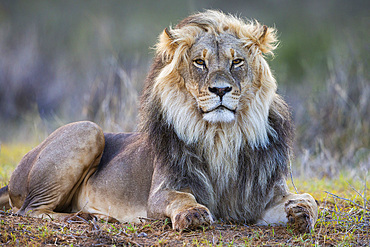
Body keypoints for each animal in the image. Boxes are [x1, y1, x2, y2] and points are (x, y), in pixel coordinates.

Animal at [0, 10, 318, 233]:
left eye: (236, 62)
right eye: (200, 62)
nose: (221, 90)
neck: (221, 136)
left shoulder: (262, 197)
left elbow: (310, 199)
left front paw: (301, 212)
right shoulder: (162, 191)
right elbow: (180, 198)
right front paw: (193, 213)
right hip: (88, 129)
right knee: (29, 210)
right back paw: (82, 217)